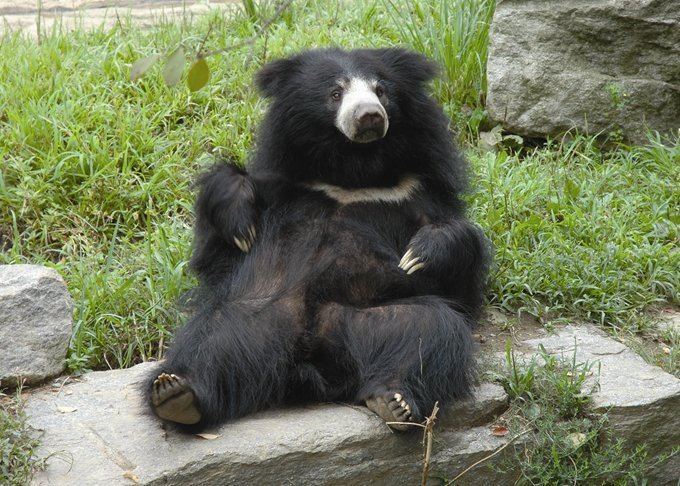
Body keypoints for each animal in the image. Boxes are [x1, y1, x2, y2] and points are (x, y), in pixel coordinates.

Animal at [147, 47, 488, 430]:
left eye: (381, 90)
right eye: (336, 93)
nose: (369, 116)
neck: (354, 170)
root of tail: (311, 359)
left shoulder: (418, 193)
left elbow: (459, 279)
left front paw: (420, 254)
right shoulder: (283, 187)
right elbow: (217, 255)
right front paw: (240, 222)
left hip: (372, 321)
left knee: (430, 331)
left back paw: (393, 401)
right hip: (253, 319)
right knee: (214, 342)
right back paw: (176, 393)